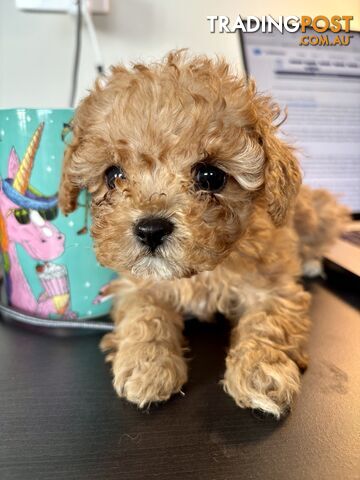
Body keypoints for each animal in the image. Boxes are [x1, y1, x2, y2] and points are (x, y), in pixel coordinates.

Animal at [59, 49, 348, 416]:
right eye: (113, 176)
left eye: (211, 177)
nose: (150, 229)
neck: (201, 272)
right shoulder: (135, 283)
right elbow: (144, 313)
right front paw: (146, 365)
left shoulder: (273, 283)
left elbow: (269, 319)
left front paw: (261, 372)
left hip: (315, 213)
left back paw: (311, 261)